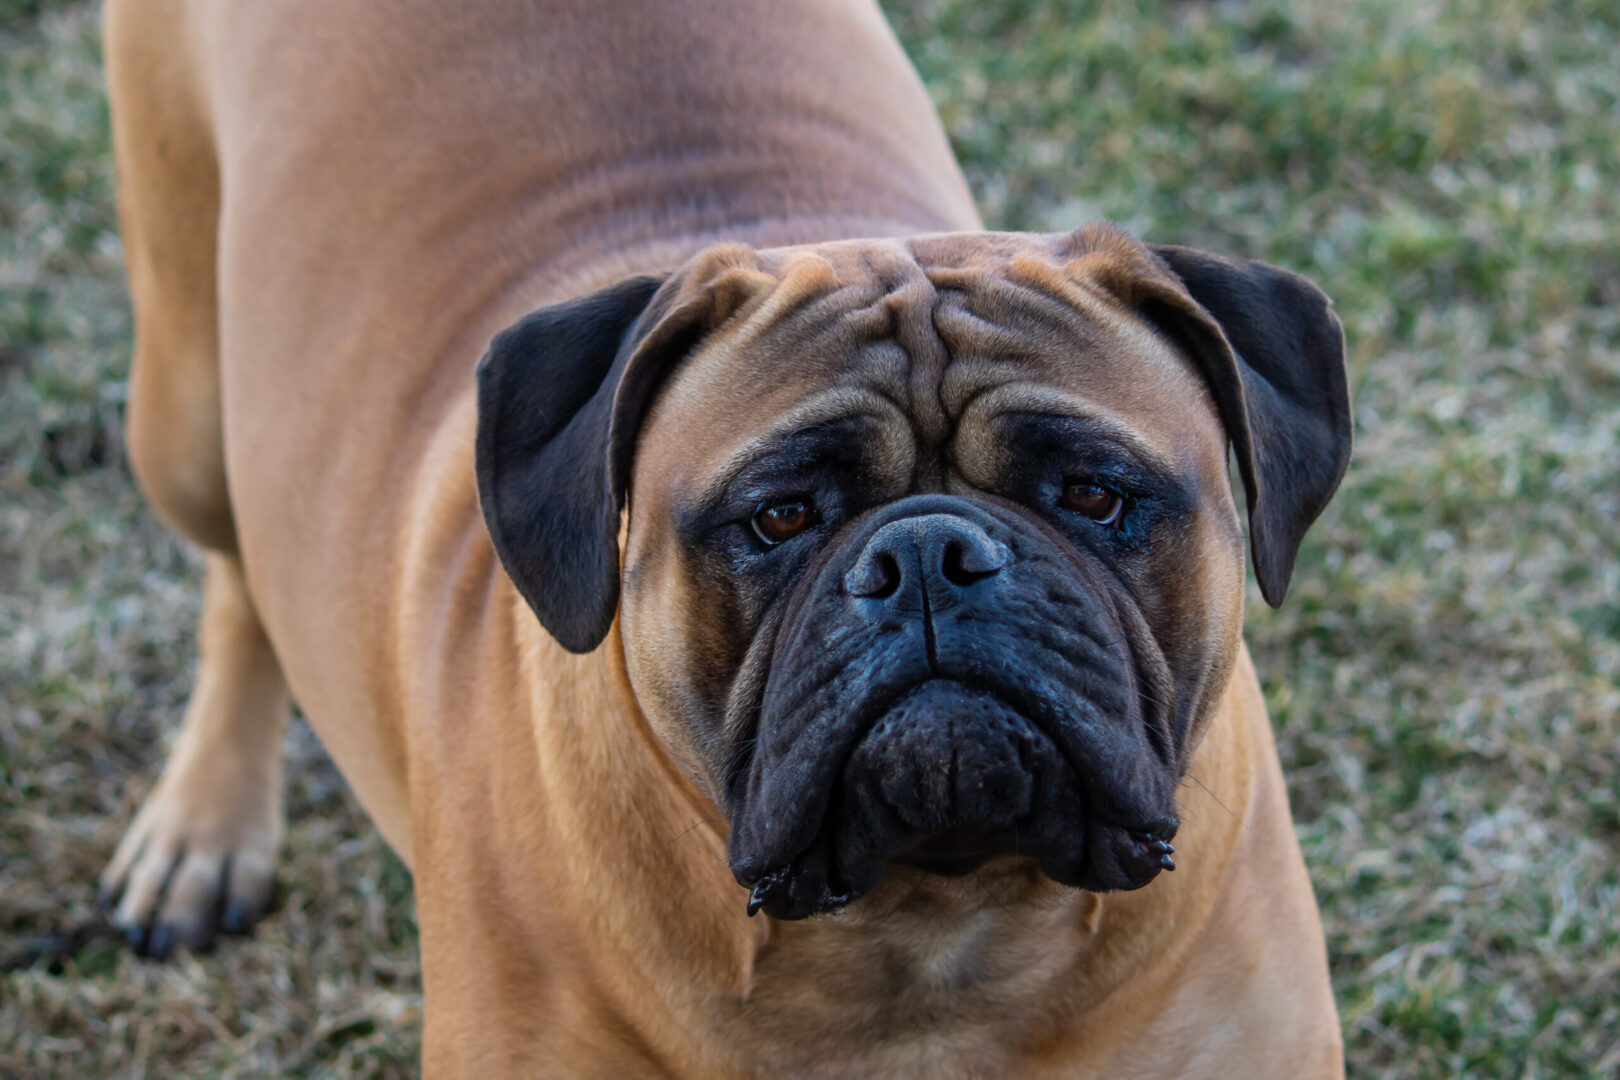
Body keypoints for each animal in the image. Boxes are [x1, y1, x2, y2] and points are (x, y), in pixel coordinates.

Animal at [94, 0, 1347, 1075]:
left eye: (1092, 493)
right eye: (781, 514)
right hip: (187, 411)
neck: (937, 932)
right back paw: (204, 822)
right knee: (237, 575)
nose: (929, 556)